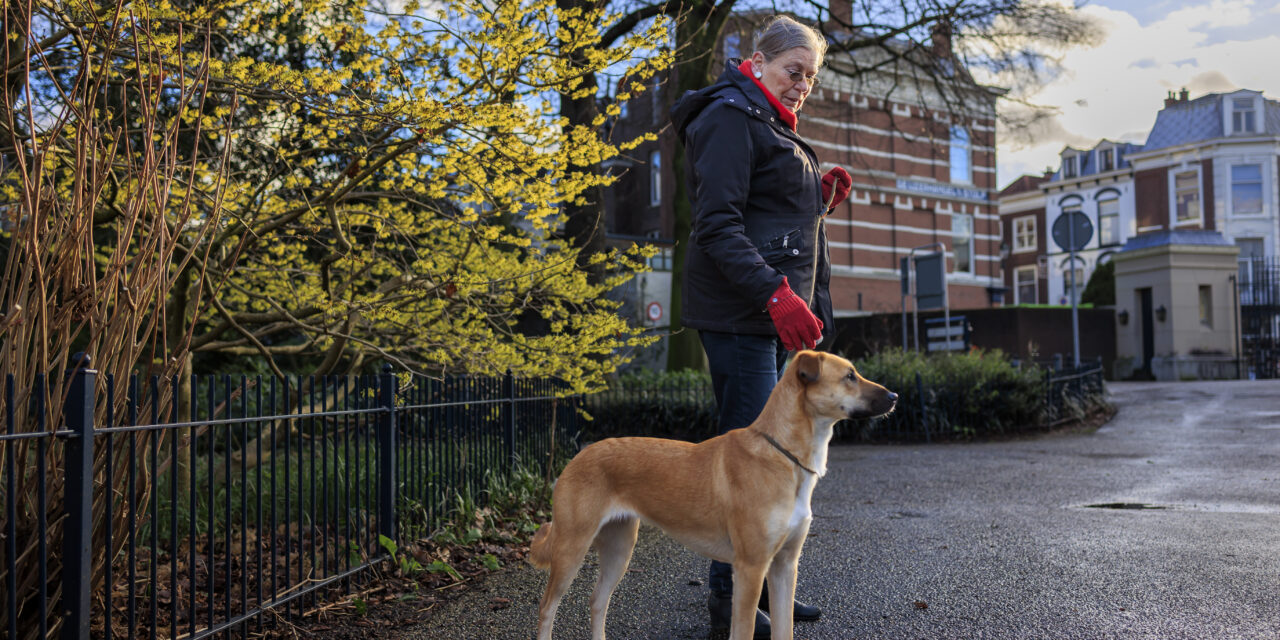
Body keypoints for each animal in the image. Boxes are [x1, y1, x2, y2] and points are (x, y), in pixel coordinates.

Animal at [524, 353, 896, 637]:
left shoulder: (784, 566)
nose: (894, 396)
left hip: (620, 548)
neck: (782, 455)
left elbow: (785, 629)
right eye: (849, 376)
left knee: (597, 601)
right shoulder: (751, 568)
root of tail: (579, 454)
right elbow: (744, 629)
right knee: (546, 608)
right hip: (572, 549)